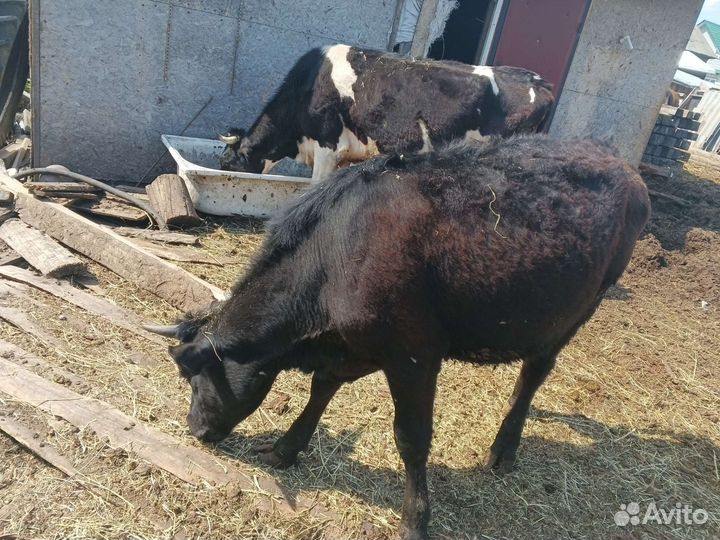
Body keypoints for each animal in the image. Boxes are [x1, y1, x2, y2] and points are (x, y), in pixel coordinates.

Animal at [145, 135, 650, 540]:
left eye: (195, 378)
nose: (195, 428)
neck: (334, 256)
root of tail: (623, 165)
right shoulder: (358, 343)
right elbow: (321, 388)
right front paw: (285, 449)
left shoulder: (413, 354)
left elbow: (411, 437)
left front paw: (414, 518)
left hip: (576, 311)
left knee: (534, 374)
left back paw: (503, 449)